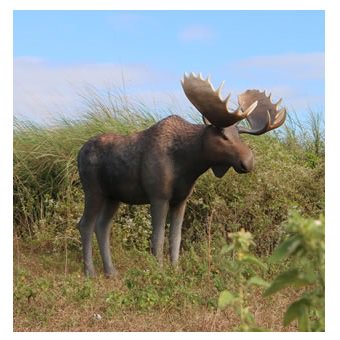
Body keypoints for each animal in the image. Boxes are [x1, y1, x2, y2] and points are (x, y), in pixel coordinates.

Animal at [77, 73, 286, 276]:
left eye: (239, 135)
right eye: (223, 136)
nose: (248, 161)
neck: (188, 164)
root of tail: (79, 152)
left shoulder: (181, 199)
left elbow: (176, 238)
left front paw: (175, 269)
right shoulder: (158, 196)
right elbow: (158, 238)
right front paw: (159, 271)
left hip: (113, 197)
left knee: (102, 226)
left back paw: (110, 272)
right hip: (93, 190)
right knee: (85, 224)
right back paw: (90, 272)